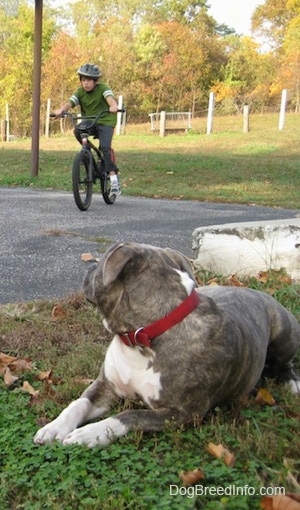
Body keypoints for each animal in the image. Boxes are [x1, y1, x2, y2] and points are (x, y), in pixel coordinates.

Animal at [34, 242, 298, 446]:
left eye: (100, 264)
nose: (89, 266)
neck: (141, 337)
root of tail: (250, 291)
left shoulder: (182, 413)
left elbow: (130, 415)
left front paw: (91, 433)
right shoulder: (106, 386)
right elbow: (77, 404)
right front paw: (55, 427)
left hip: (284, 332)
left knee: (285, 363)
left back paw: (291, 383)